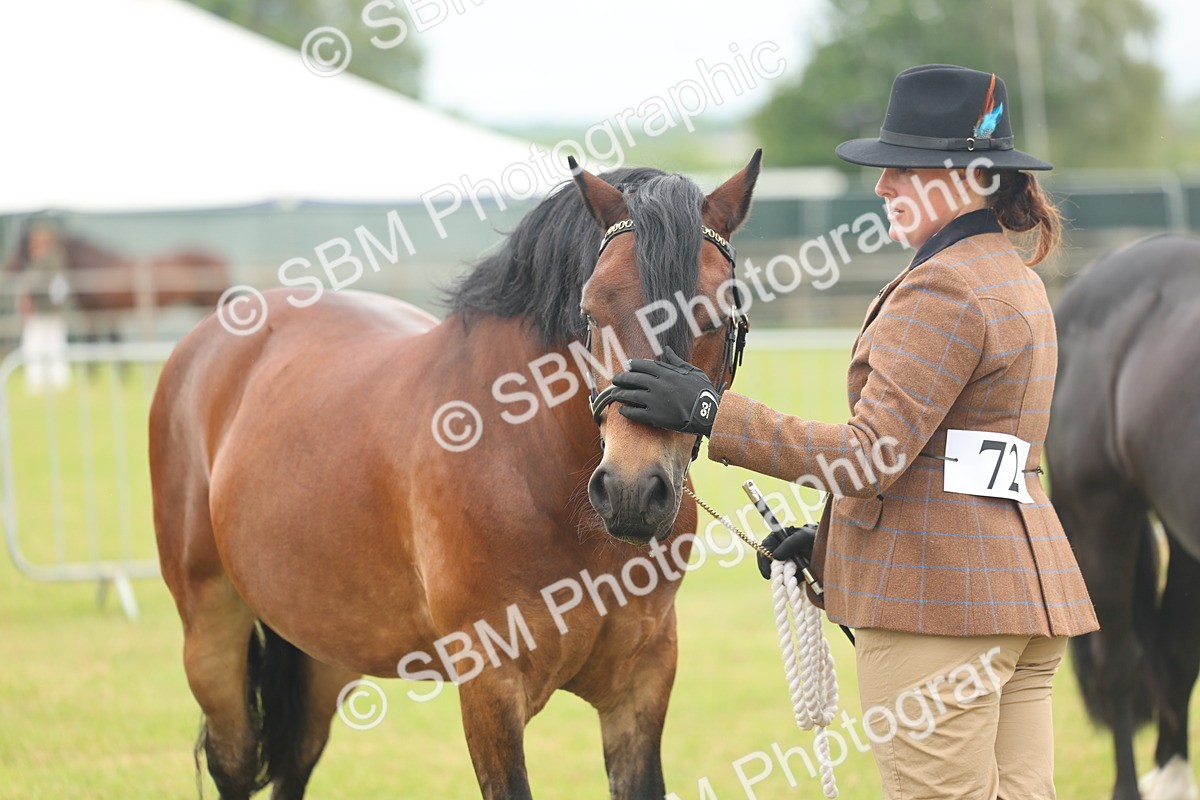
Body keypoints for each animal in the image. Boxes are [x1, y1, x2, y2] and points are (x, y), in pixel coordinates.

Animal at [149, 151, 762, 798]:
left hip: (324, 648)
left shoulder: (642, 680)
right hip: (211, 631)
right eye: (589, 312)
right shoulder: (491, 686)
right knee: (235, 761)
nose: (630, 492)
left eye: (717, 315)